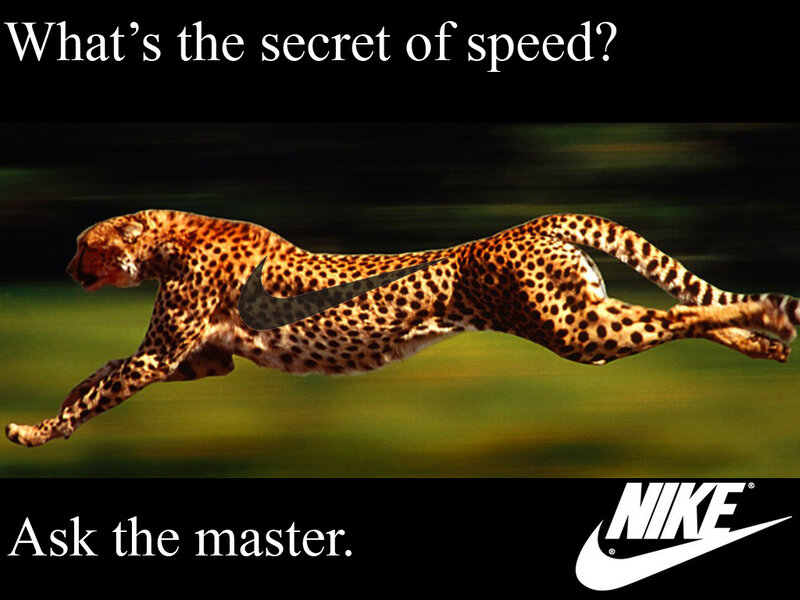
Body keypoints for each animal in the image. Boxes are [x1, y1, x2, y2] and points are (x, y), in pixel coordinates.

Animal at [6, 209, 799, 447]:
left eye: (83, 244)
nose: (67, 266)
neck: (168, 238)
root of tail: (535, 221)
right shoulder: (203, 361)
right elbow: (96, 374)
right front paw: (49, 418)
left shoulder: (165, 356)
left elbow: (102, 384)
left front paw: (38, 431)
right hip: (587, 321)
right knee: (673, 316)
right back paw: (763, 339)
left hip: (574, 331)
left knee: (679, 312)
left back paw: (764, 317)